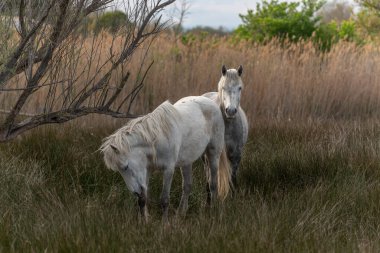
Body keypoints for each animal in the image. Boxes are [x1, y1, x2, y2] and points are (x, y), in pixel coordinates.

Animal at [101, 96, 230, 222]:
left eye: (126, 167)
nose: (135, 192)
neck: (156, 140)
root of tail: (211, 101)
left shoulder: (168, 169)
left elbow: (164, 199)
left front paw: (165, 224)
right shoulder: (147, 169)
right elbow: (143, 199)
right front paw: (143, 222)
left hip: (214, 153)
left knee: (213, 184)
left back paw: (213, 212)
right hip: (187, 161)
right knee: (187, 186)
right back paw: (181, 214)